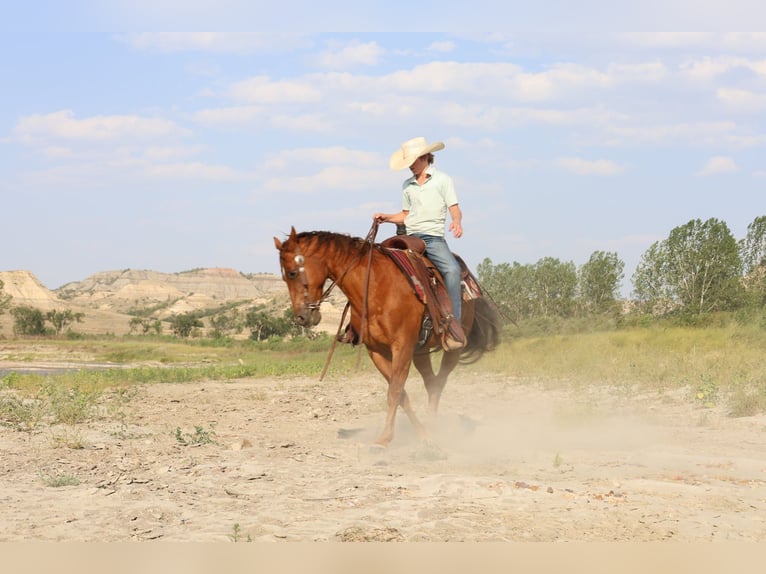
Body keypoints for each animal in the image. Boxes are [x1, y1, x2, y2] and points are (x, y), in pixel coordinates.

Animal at [274, 226, 501, 447]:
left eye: (292, 273)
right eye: (284, 277)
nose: (301, 317)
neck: (375, 287)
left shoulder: (402, 346)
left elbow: (394, 392)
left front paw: (385, 439)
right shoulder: (377, 351)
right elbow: (400, 394)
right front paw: (418, 434)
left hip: (453, 347)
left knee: (440, 382)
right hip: (421, 352)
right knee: (431, 382)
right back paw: (431, 425)